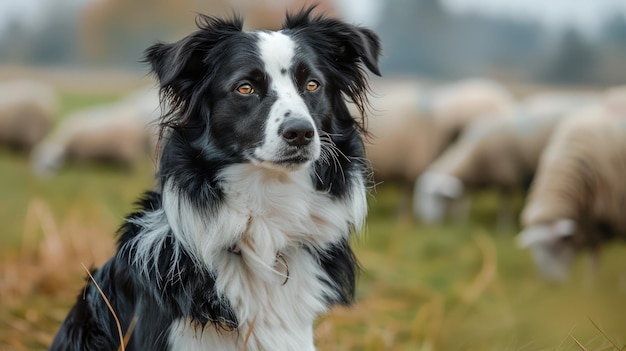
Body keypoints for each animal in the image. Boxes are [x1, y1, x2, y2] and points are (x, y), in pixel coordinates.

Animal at [31, 87, 161, 177]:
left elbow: (80, 167)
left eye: (48, 160)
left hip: (129, 147)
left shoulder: (82, 154)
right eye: (36, 159)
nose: (39, 177)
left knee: (129, 165)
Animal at [516, 100, 624, 282]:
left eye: (556, 246)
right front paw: (590, 284)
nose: (551, 283)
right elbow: (594, 257)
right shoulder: (591, 221)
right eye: (535, 252)